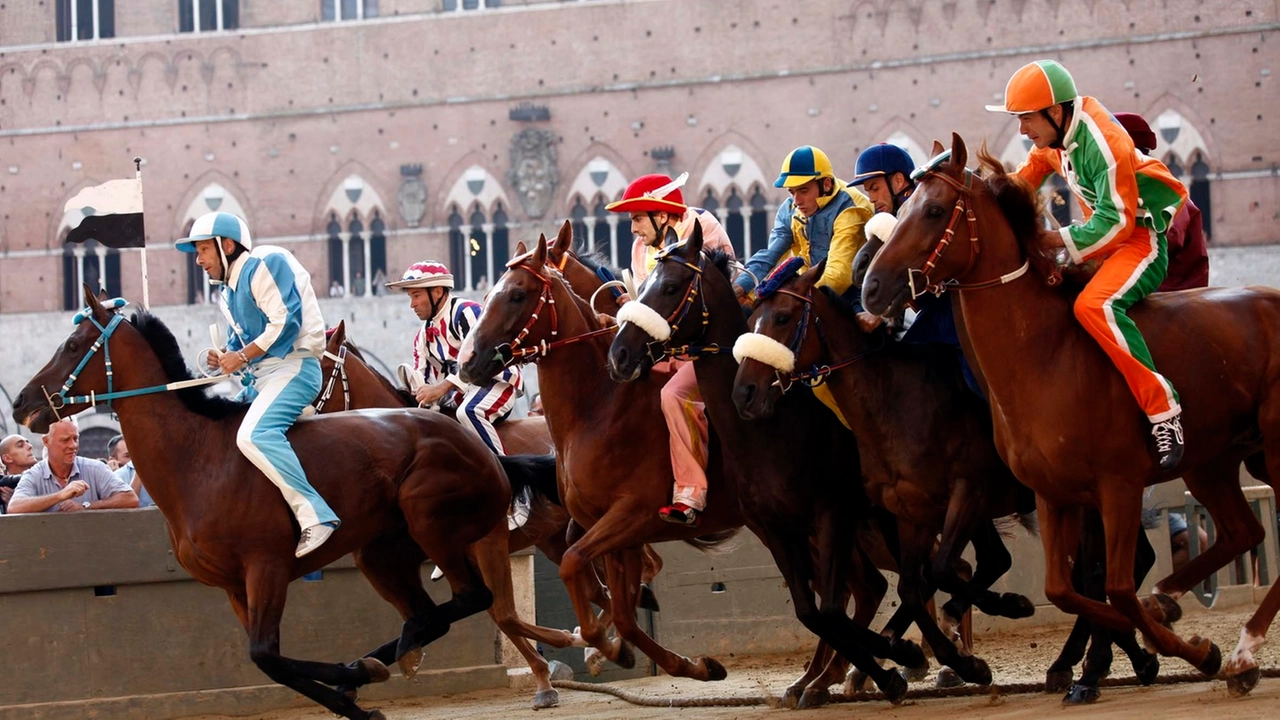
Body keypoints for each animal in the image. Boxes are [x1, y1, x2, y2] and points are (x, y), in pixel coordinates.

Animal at [10, 283, 563, 712]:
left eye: (73, 342)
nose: (21, 403)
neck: (197, 459)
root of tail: (486, 455)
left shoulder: (267, 567)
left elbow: (266, 655)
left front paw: (351, 688)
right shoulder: (234, 587)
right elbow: (266, 660)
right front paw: (352, 686)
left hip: (433, 523)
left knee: (475, 599)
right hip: (381, 552)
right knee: (428, 615)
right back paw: (391, 656)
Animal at [860, 133, 1280, 691]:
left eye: (932, 210)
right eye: (902, 207)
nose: (871, 288)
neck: (1046, 356)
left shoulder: (1117, 485)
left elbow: (1115, 588)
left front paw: (1184, 651)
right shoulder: (1053, 493)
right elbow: (1064, 588)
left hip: (1269, 446)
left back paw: (1236, 648)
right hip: (1218, 460)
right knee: (1243, 532)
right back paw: (1214, 634)